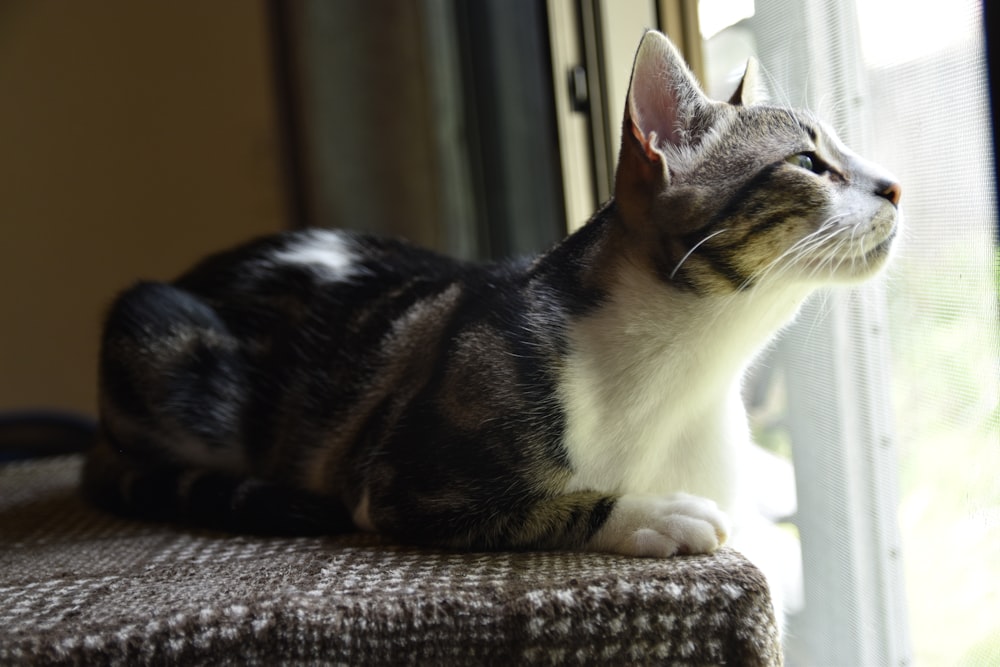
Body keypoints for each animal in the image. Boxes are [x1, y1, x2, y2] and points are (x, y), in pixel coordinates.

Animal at [84, 30, 900, 560]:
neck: (690, 371)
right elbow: (541, 508)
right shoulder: (399, 480)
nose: (895, 184)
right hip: (154, 329)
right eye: (809, 162)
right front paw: (655, 513)